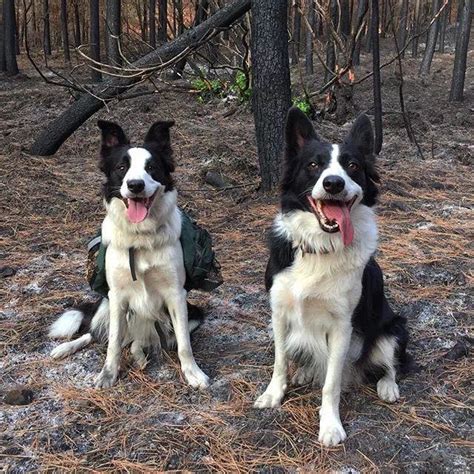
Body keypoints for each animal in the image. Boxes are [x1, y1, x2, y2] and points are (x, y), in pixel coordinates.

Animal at [47, 118, 221, 388]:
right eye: (121, 167)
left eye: (151, 167)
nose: (135, 185)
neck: (141, 236)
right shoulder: (117, 296)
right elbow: (112, 345)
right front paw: (108, 374)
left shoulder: (177, 295)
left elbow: (184, 344)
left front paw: (194, 373)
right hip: (105, 303)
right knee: (95, 333)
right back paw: (66, 348)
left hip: (193, 313)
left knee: (140, 340)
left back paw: (139, 354)